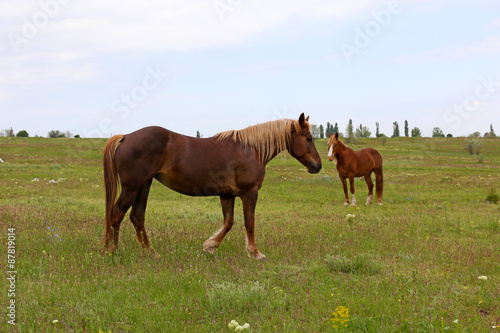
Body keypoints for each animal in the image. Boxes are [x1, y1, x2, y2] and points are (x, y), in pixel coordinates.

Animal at [102, 114, 320, 260]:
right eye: (309, 138)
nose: (317, 166)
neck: (250, 149)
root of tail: (126, 136)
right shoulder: (249, 193)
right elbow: (249, 222)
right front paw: (255, 253)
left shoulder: (227, 195)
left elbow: (228, 222)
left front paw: (210, 246)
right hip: (132, 187)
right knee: (117, 214)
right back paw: (112, 251)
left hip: (143, 186)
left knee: (137, 216)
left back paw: (151, 252)